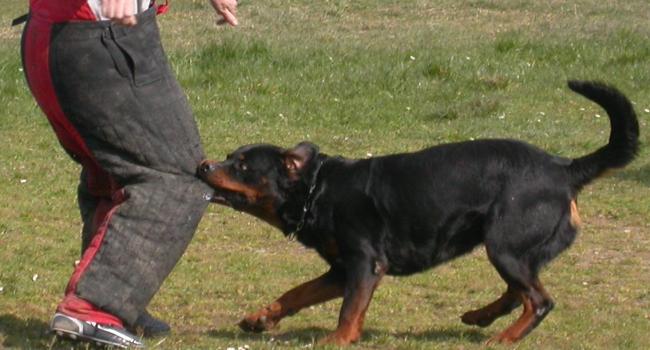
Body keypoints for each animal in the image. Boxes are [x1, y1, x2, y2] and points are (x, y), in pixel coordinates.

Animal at [197, 80, 636, 346]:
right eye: (229, 156)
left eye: (242, 166)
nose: (203, 165)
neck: (317, 190)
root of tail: (564, 167)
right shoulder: (341, 269)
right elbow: (298, 291)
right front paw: (260, 318)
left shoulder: (365, 264)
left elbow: (348, 311)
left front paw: (337, 340)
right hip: (515, 249)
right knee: (520, 292)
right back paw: (481, 316)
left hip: (505, 244)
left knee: (539, 300)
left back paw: (504, 338)